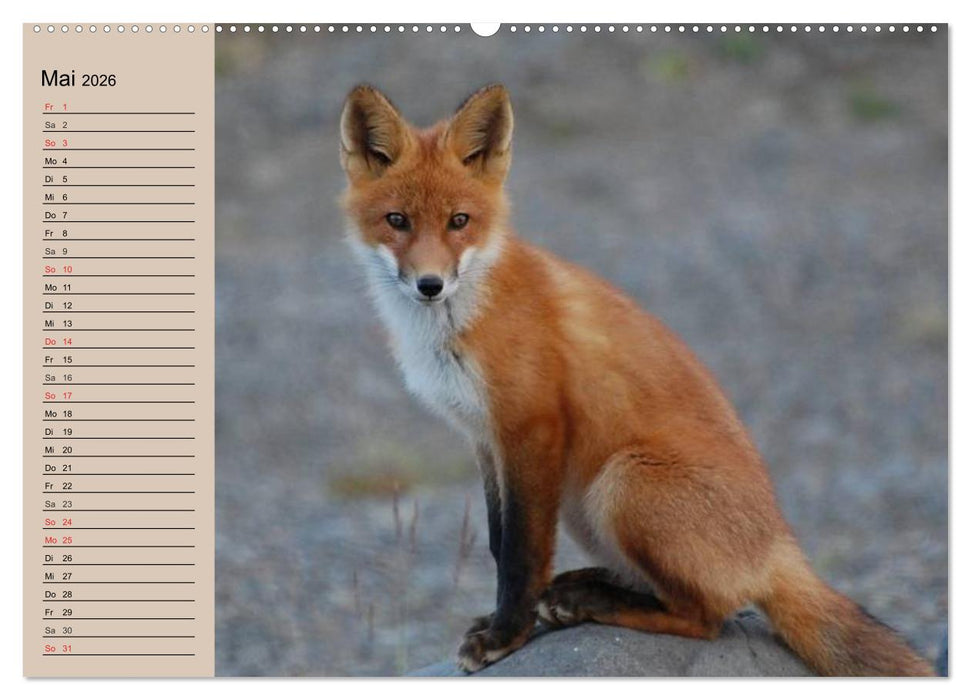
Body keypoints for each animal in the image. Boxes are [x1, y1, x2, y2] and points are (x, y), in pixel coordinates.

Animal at [338, 83, 934, 676]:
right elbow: (496, 538)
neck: (456, 325)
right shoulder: (484, 438)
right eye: (397, 221)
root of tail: (779, 547)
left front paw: (506, 634)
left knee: (707, 616)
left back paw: (594, 603)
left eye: (459, 221)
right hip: (584, 505)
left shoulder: (531, 427)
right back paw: (581, 589)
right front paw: (505, 620)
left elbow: (520, 553)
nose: (430, 285)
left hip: (622, 483)